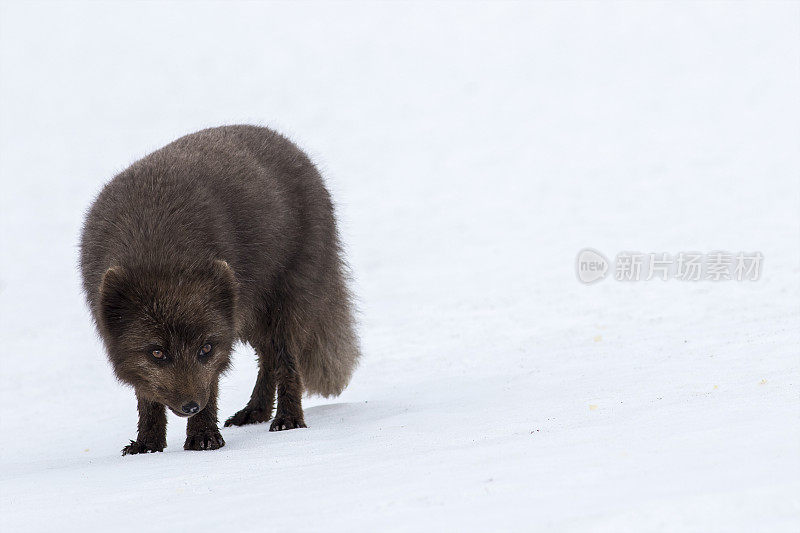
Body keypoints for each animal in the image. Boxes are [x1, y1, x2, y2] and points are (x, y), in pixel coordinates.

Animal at [79, 124, 360, 454]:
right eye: (157, 352)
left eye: (205, 349)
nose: (190, 407)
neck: (157, 251)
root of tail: (292, 147)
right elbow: (147, 396)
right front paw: (148, 445)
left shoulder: (219, 340)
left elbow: (212, 384)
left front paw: (203, 437)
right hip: (249, 315)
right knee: (267, 359)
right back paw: (256, 412)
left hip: (282, 306)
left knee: (285, 362)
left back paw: (288, 420)